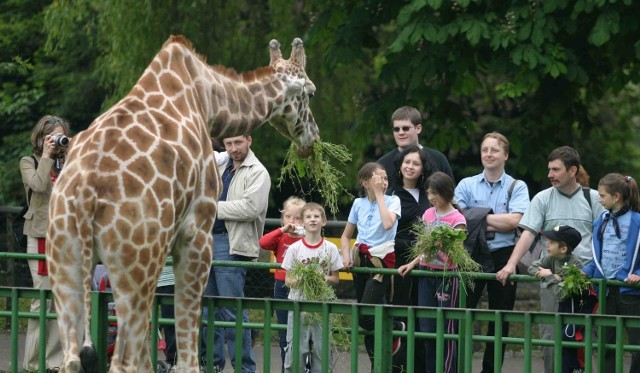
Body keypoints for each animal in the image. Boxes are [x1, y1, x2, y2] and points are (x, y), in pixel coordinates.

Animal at [47, 33, 320, 370]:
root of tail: (85, 195)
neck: (208, 100)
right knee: (122, 359)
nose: (312, 139)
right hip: (135, 265)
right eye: (311, 91)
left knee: (73, 358)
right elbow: (187, 345)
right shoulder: (197, 231)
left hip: (66, 263)